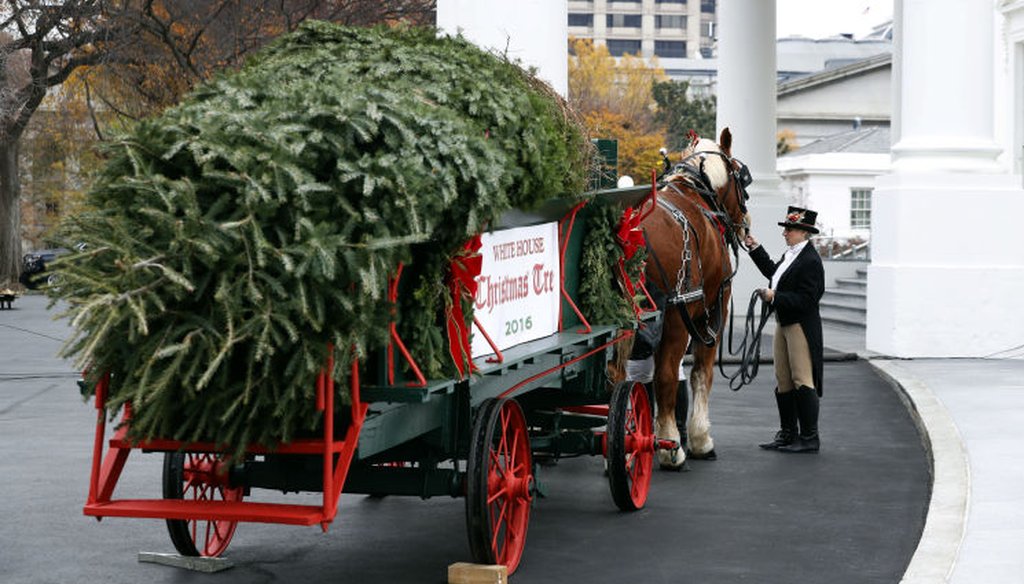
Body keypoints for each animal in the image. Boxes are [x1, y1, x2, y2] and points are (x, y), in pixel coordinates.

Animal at [638, 128, 753, 469]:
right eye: (742, 178)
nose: (746, 224)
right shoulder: (713, 309)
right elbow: (702, 372)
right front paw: (700, 439)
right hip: (678, 316)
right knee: (664, 375)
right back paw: (671, 448)